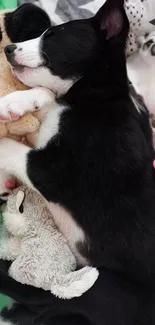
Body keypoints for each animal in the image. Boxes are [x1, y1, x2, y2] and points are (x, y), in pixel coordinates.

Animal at [1, 0, 155, 322]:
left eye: (53, 35)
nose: (9, 49)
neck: (97, 97)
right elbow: (47, 97)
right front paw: (18, 102)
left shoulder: (55, 172)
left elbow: (10, 148)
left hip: (106, 287)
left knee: (42, 297)